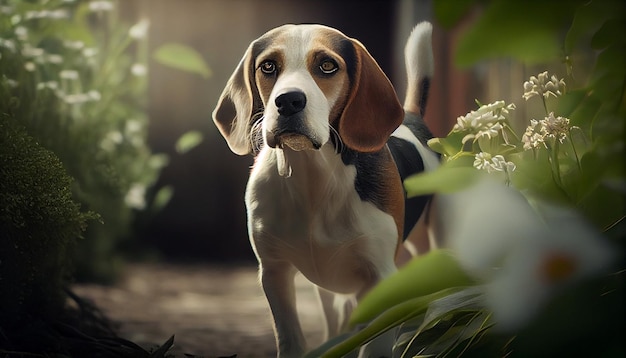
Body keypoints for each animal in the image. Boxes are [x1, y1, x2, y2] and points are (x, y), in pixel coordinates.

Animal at [212, 21, 436, 356]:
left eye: (327, 65)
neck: (313, 177)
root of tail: (412, 116)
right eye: (268, 66)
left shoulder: (379, 277)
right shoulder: (274, 271)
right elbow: (291, 339)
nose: (288, 101)